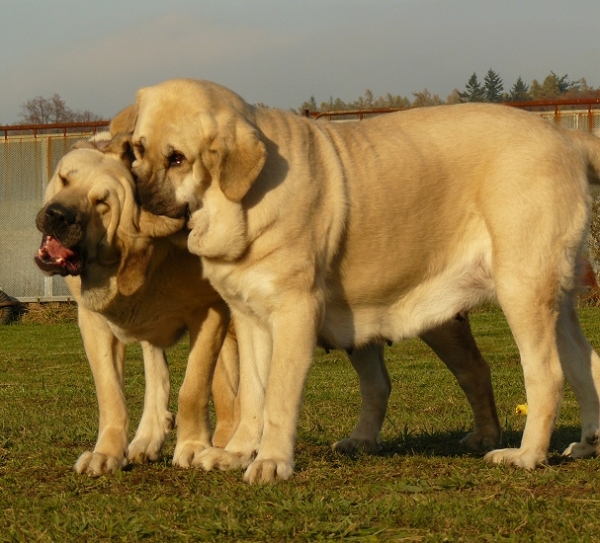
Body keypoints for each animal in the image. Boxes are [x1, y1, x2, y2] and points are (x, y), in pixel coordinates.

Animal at [35, 136, 239, 476]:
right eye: (64, 179)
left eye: (102, 203)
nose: (59, 215)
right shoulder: (94, 322)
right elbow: (111, 393)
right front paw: (106, 453)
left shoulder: (210, 312)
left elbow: (194, 388)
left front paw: (193, 446)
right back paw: (148, 438)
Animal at [110, 78, 600, 482]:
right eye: (137, 149)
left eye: (177, 159)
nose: (139, 197)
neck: (244, 203)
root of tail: (566, 137)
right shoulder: (249, 320)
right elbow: (252, 395)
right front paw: (236, 453)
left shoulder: (294, 314)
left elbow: (278, 397)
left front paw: (271, 461)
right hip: (554, 303)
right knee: (584, 364)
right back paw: (585, 444)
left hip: (522, 291)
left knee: (546, 374)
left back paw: (525, 455)